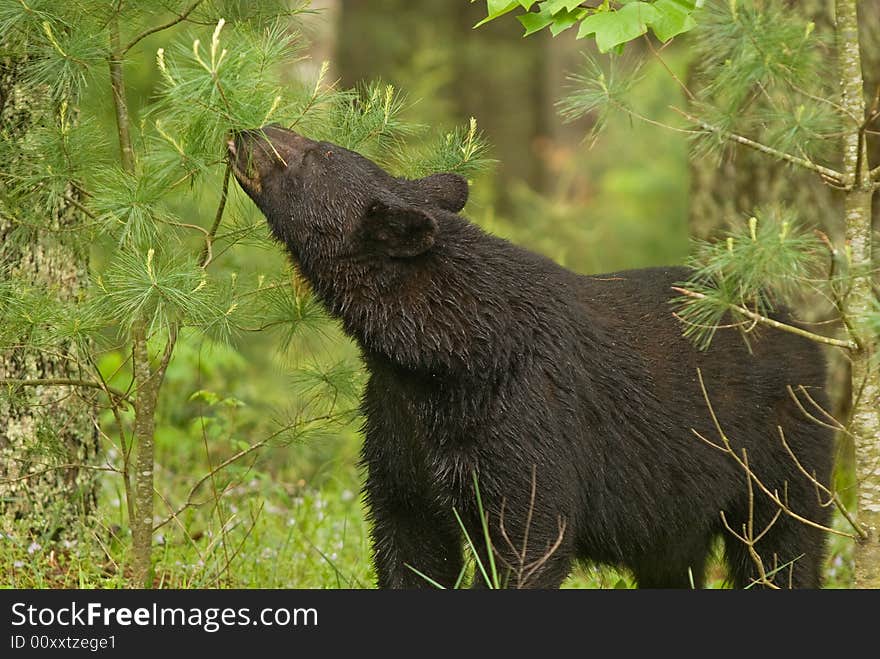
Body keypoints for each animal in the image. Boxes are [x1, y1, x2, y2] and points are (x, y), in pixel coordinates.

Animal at [227, 126, 832, 592]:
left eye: (316, 153)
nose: (245, 131)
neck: (441, 354)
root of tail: (799, 327)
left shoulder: (524, 416)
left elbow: (528, 538)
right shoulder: (399, 425)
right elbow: (409, 539)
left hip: (779, 453)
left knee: (784, 550)